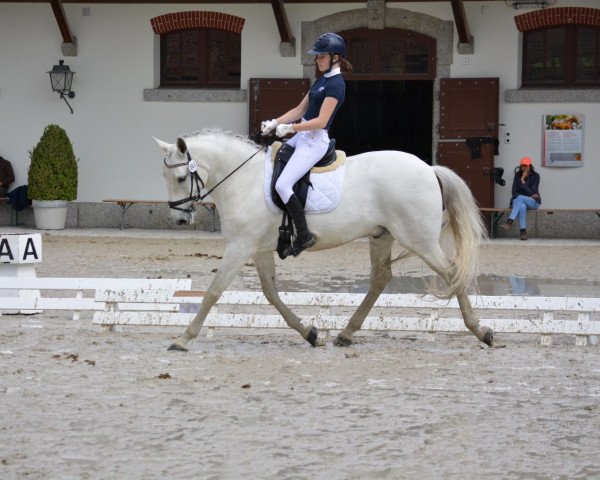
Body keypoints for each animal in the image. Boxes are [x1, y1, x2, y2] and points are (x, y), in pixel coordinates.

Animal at [155, 129, 492, 350]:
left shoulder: (240, 246)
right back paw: (346, 334)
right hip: (381, 236)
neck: (244, 180)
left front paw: (183, 338)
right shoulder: (258, 248)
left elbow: (213, 292)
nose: (179, 220)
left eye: (182, 178)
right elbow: (271, 294)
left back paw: (481, 331)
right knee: (381, 279)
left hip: (419, 240)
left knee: (451, 272)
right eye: (165, 177)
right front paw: (309, 332)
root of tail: (429, 169)